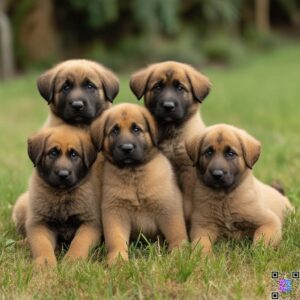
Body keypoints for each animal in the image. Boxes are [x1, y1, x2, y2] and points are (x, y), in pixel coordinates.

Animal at [12, 125, 102, 266]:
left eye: (74, 154)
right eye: (53, 153)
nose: (63, 174)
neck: (62, 194)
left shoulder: (90, 223)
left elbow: (80, 242)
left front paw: (73, 260)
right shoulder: (39, 223)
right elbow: (42, 244)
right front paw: (45, 262)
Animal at [91, 103, 186, 264]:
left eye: (136, 129)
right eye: (115, 130)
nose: (126, 148)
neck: (134, 174)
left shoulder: (168, 208)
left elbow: (177, 235)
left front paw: (179, 255)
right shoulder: (115, 212)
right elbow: (116, 240)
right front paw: (117, 260)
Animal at [130, 61, 212, 220]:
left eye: (180, 88)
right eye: (158, 87)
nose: (168, 106)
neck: (171, 133)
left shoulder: (188, 171)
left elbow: (187, 203)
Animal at [185, 123, 292, 254]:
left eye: (230, 153)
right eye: (209, 152)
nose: (217, 174)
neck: (224, 198)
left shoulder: (270, 222)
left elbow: (261, 239)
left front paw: (256, 253)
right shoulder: (202, 227)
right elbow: (200, 243)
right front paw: (202, 256)